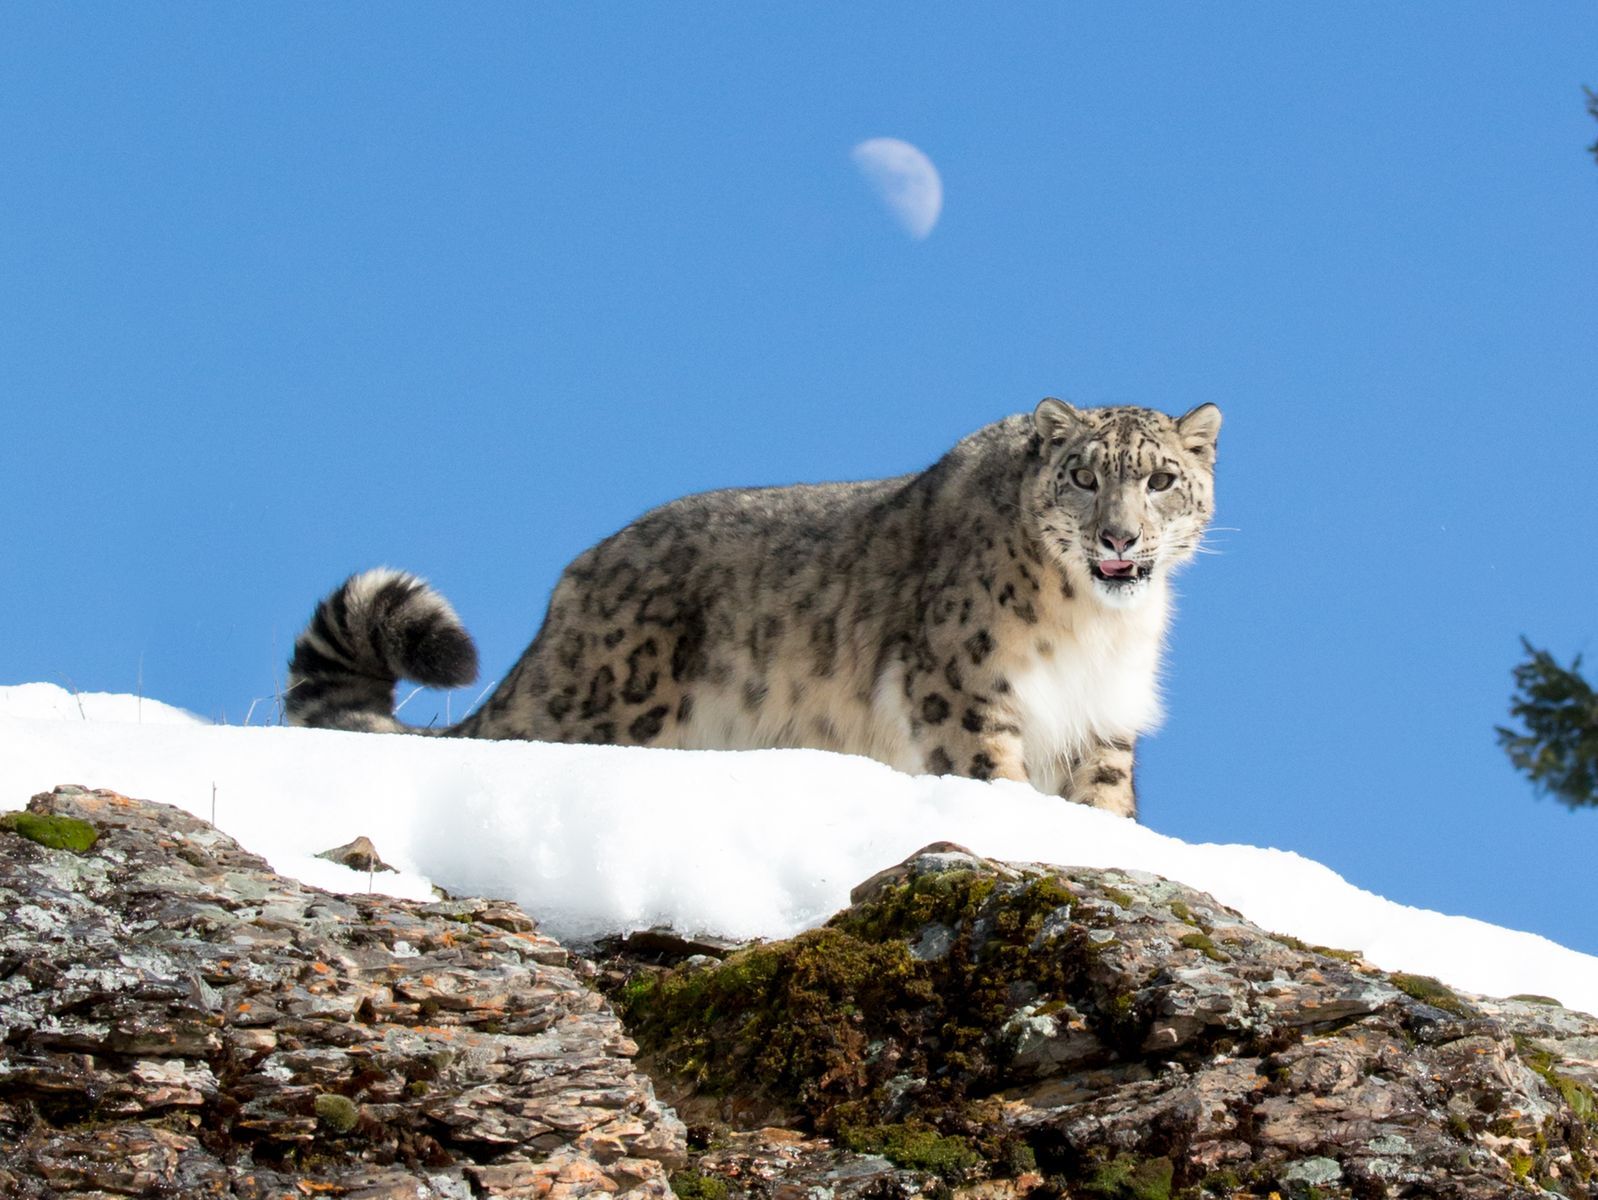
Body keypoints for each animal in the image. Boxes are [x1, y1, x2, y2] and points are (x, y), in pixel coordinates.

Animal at [284, 399, 1220, 824]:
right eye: (1084, 475)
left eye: (1161, 478)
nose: (1118, 537)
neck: (1094, 628)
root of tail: (571, 588)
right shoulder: (965, 686)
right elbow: (989, 772)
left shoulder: (1102, 719)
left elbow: (1105, 801)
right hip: (606, 705)